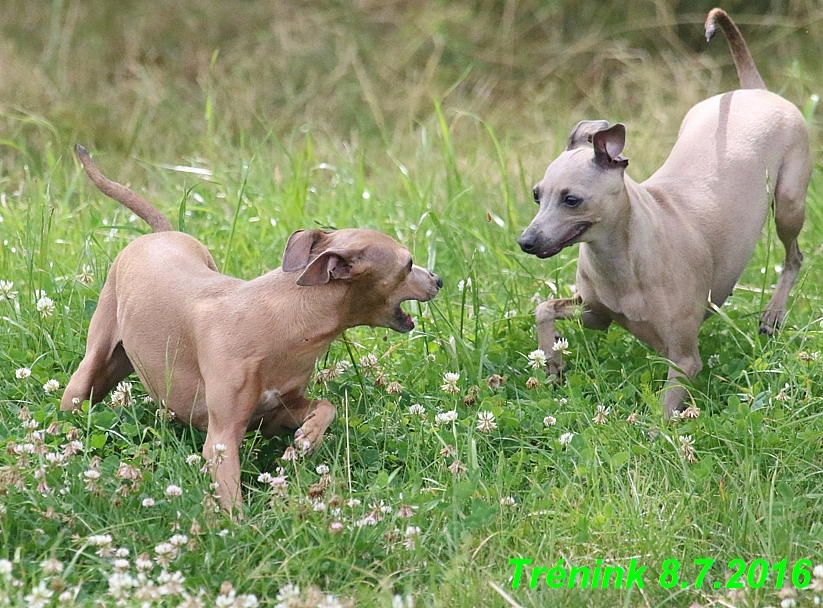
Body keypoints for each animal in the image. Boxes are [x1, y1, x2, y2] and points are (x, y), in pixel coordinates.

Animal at [62, 145, 444, 510]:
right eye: (408, 263)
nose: (439, 279)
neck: (278, 322)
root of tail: (163, 233)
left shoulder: (272, 415)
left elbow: (326, 406)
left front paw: (308, 436)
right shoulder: (222, 438)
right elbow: (231, 499)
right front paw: (239, 527)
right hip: (88, 373)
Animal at [520, 8, 816, 418]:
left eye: (571, 200)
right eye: (537, 195)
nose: (526, 242)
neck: (623, 262)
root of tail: (754, 89)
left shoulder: (684, 359)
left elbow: (662, 416)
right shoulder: (596, 316)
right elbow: (544, 309)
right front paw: (553, 362)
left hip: (788, 203)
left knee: (794, 255)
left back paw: (772, 314)